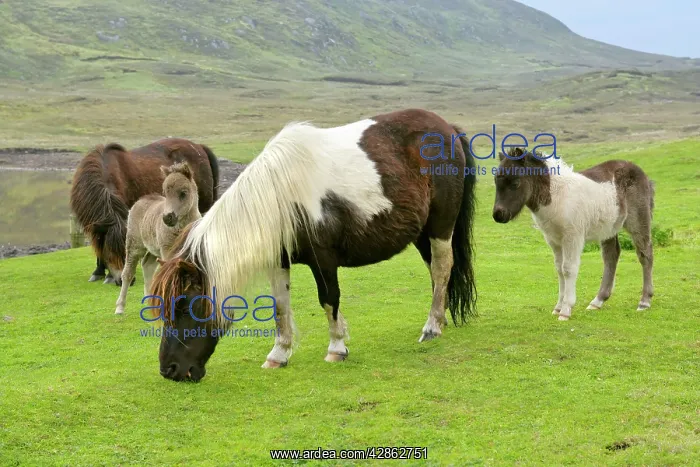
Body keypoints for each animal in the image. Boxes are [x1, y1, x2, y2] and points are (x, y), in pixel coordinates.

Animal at [114, 162, 202, 315]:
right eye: (165, 193)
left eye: (183, 193)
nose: (167, 218)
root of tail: (141, 199)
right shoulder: (167, 251)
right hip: (134, 245)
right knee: (128, 273)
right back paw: (120, 307)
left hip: (154, 250)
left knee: (147, 266)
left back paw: (151, 303)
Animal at [148, 108, 478, 382]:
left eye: (183, 304)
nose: (169, 370)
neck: (281, 195)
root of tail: (448, 128)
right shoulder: (278, 261)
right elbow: (280, 306)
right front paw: (278, 355)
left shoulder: (324, 259)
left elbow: (329, 299)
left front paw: (336, 348)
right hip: (422, 233)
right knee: (438, 274)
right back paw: (440, 319)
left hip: (440, 227)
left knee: (442, 269)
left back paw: (431, 328)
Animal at [492, 147, 655, 321]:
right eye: (496, 182)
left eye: (515, 183)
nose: (498, 215)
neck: (557, 196)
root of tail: (642, 174)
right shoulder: (553, 240)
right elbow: (559, 269)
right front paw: (558, 307)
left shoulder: (573, 237)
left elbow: (568, 269)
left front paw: (565, 310)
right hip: (609, 227)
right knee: (611, 255)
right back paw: (597, 301)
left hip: (637, 220)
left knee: (645, 254)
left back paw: (644, 302)